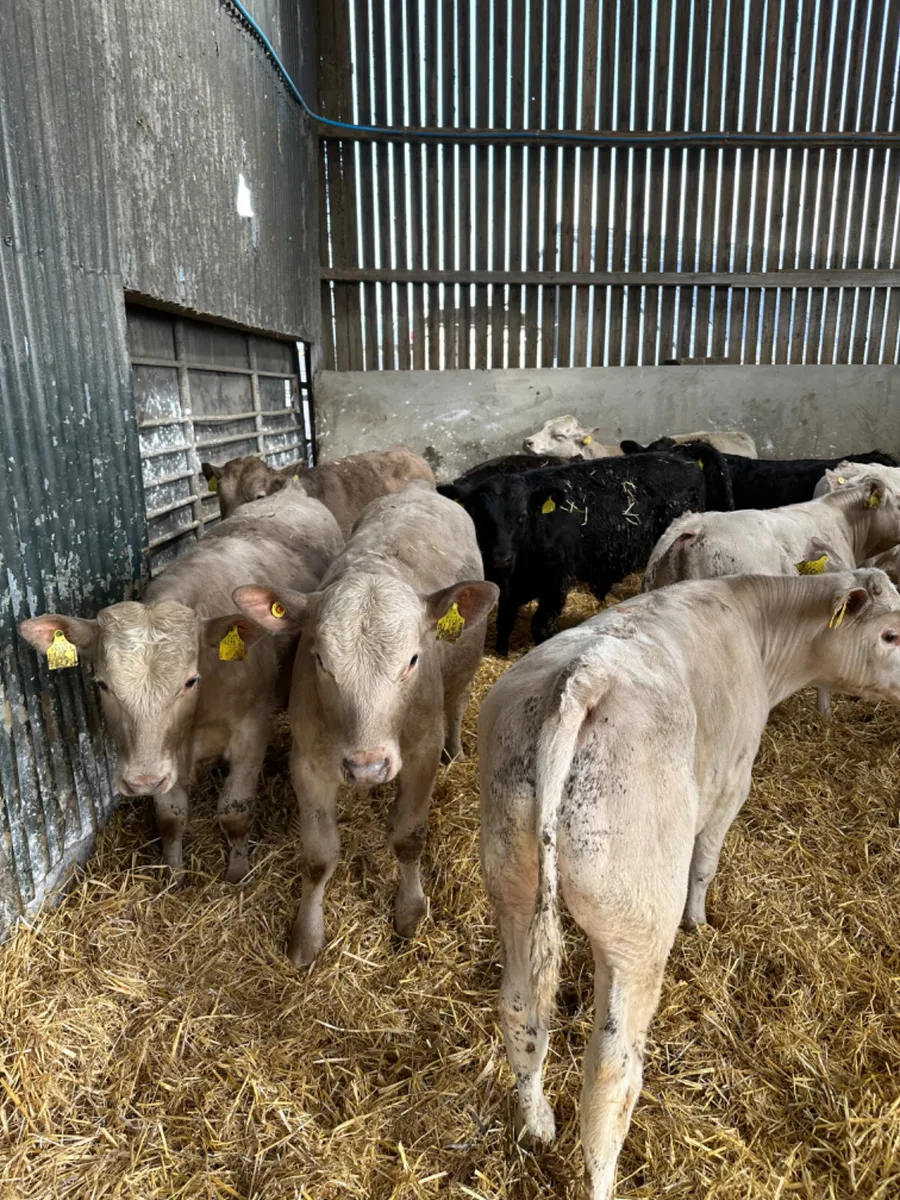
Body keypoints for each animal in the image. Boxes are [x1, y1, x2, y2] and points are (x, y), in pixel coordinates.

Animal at [19, 490, 343, 882]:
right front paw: (173, 874)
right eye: (102, 684)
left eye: (189, 681)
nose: (141, 783)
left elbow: (235, 812)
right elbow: (170, 818)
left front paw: (237, 873)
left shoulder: (252, 731)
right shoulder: (162, 756)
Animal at [231, 483, 498, 965]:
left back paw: (456, 750)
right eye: (320, 660)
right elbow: (318, 856)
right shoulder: (309, 762)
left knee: (458, 702)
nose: (367, 767)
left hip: (465, 669)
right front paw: (306, 936)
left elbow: (409, 837)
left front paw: (409, 912)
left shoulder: (420, 751)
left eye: (412, 659)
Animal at [439, 453, 730, 656]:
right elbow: (504, 622)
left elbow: (541, 626)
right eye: (481, 518)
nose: (501, 558)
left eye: (521, 517)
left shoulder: (555, 586)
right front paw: (501, 652)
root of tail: (685, 460)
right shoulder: (506, 589)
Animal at [479, 568, 900, 1200]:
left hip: (511, 886)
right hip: (637, 927)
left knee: (519, 1009)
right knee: (611, 1070)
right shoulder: (732, 780)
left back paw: (538, 1124)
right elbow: (706, 860)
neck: (758, 625)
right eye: (891, 634)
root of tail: (583, 676)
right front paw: (701, 922)